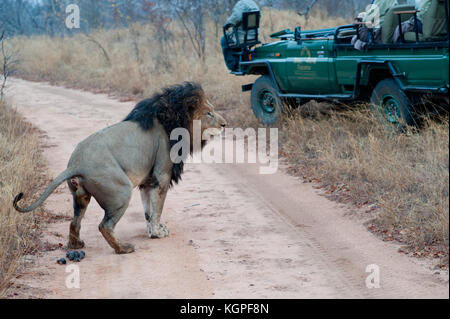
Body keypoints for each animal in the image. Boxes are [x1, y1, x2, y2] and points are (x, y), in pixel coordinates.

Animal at [14, 82, 227, 255]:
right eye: (208, 113)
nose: (225, 124)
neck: (175, 121)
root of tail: (76, 164)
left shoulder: (147, 180)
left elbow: (148, 210)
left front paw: (152, 230)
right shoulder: (162, 175)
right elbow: (157, 207)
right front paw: (158, 233)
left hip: (80, 196)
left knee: (74, 222)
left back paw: (76, 245)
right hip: (121, 191)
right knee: (105, 226)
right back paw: (124, 248)